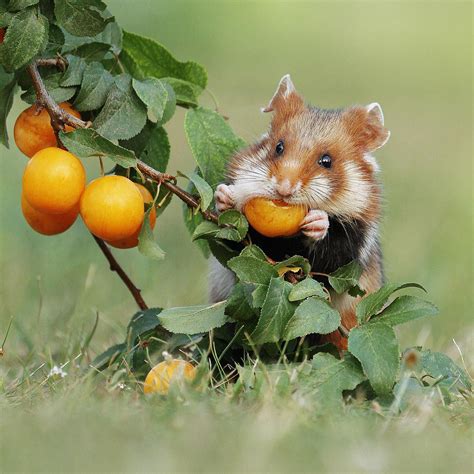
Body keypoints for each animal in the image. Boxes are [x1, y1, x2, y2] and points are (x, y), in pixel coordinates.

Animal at [209, 74, 390, 348]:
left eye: (327, 161)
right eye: (278, 147)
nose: (284, 189)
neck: (290, 239)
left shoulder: (353, 245)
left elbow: (330, 261)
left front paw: (318, 222)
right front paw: (225, 197)